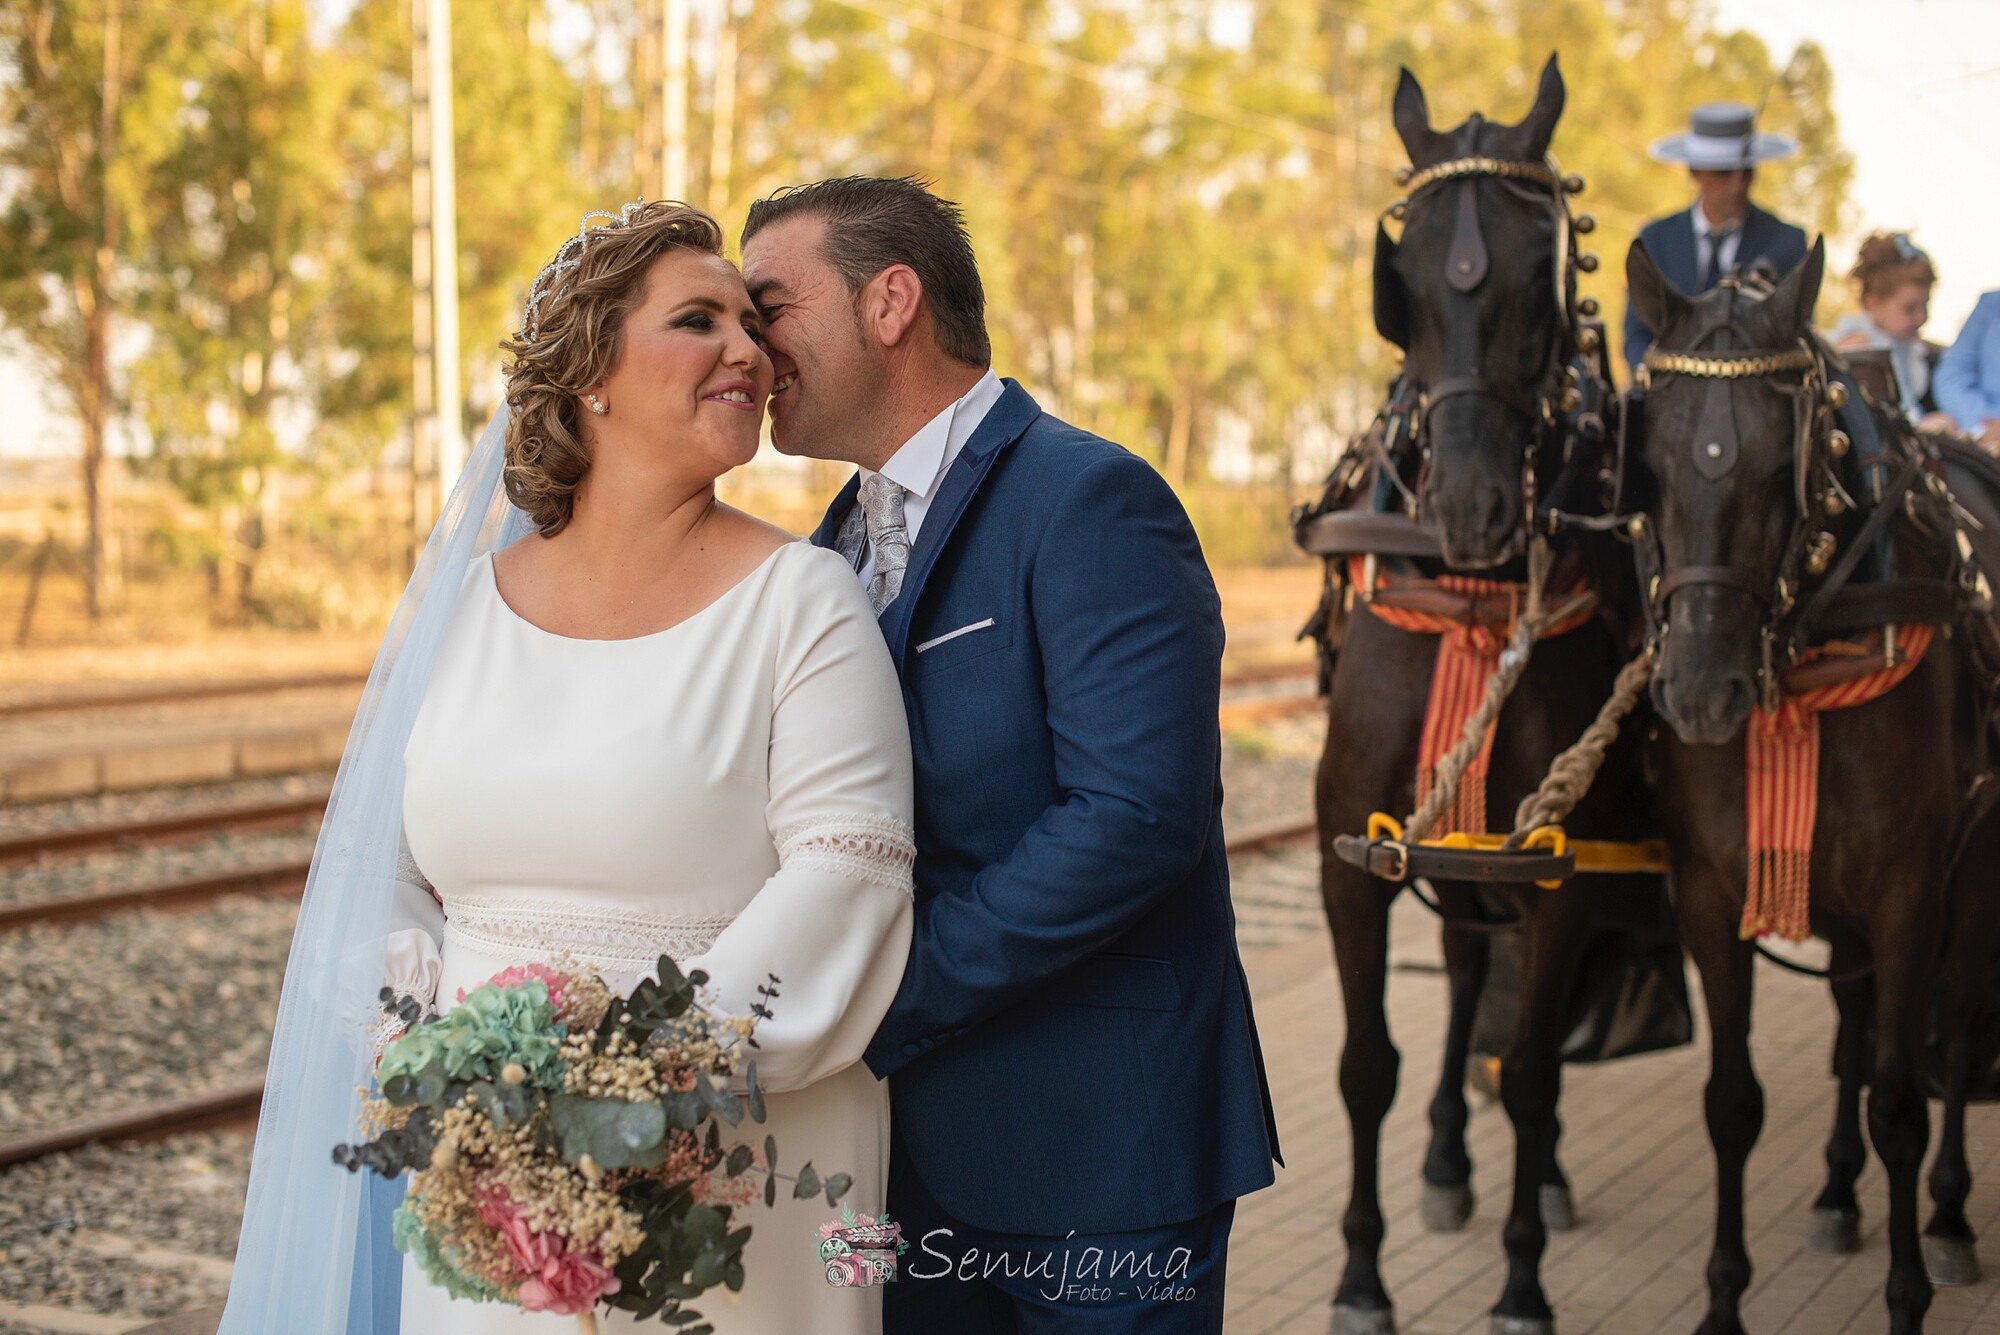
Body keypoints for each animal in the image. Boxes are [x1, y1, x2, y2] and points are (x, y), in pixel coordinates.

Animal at [1304, 62, 1680, 1335]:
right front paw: (1360, 1276)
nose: (1470, 507)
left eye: (1541, 270)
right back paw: (1442, 1163)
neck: (1471, 597)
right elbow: (1364, 1067)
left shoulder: (1557, 870)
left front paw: (1521, 1281)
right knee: (1469, 979)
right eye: (1403, 277)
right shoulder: (1351, 859)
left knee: (1527, 1037)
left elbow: (1527, 1071)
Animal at [1624, 239, 2000, 1335]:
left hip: (1976, 865)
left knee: (1957, 1014)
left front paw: (1909, 1292)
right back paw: (1837, 1188)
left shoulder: (1910, 890)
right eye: (1649, 463)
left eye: (1775, 465)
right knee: (1849, 1012)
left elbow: (1898, 1102)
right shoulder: (1710, 892)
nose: (1700, 691)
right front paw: (1722, 1299)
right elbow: (1732, 1102)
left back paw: (1948, 1212)